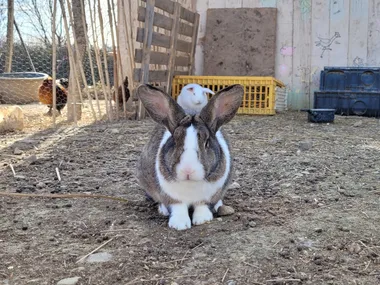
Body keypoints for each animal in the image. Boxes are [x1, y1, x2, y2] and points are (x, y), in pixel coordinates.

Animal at [137, 82, 243, 229]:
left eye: (206, 143)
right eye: (175, 141)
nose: (188, 170)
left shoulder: (208, 197)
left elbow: (202, 206)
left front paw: (202, 219)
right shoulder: (172, 198)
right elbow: (178, 208)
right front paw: (179, 224)